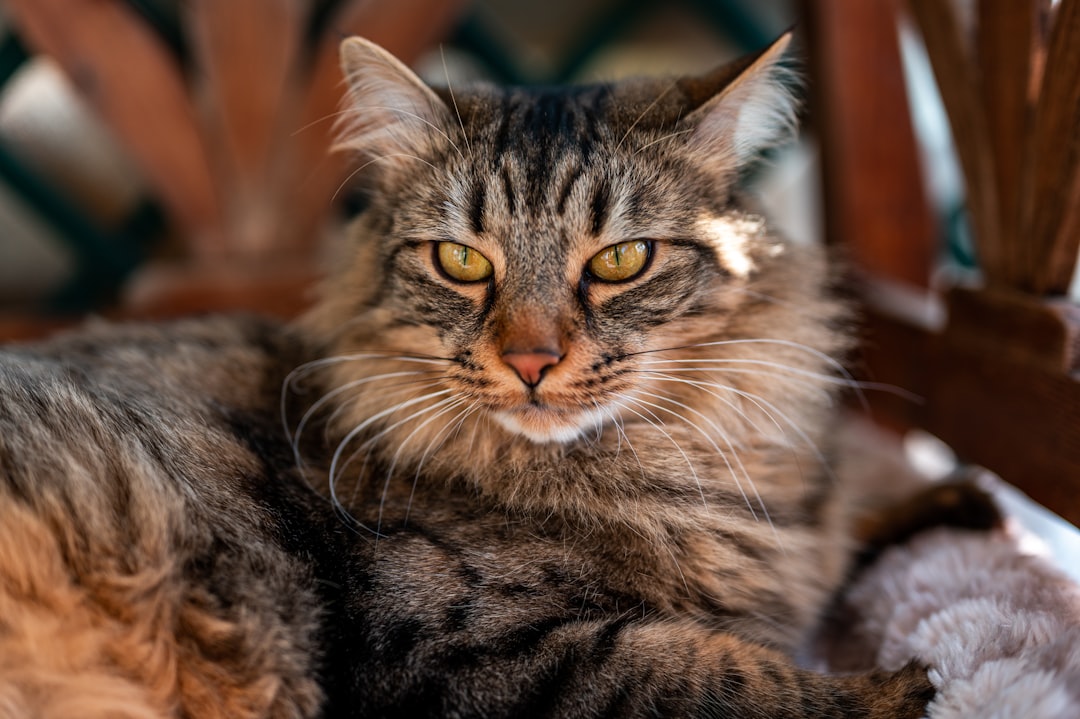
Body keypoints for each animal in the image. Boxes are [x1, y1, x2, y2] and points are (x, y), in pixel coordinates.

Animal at [0, 32, 937, 712]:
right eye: (461, 261)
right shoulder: (458, 648)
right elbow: (719, 674)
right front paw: (894, 687)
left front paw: (948, 496)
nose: (530, 359)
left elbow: (857, 520)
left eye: (621, 260)